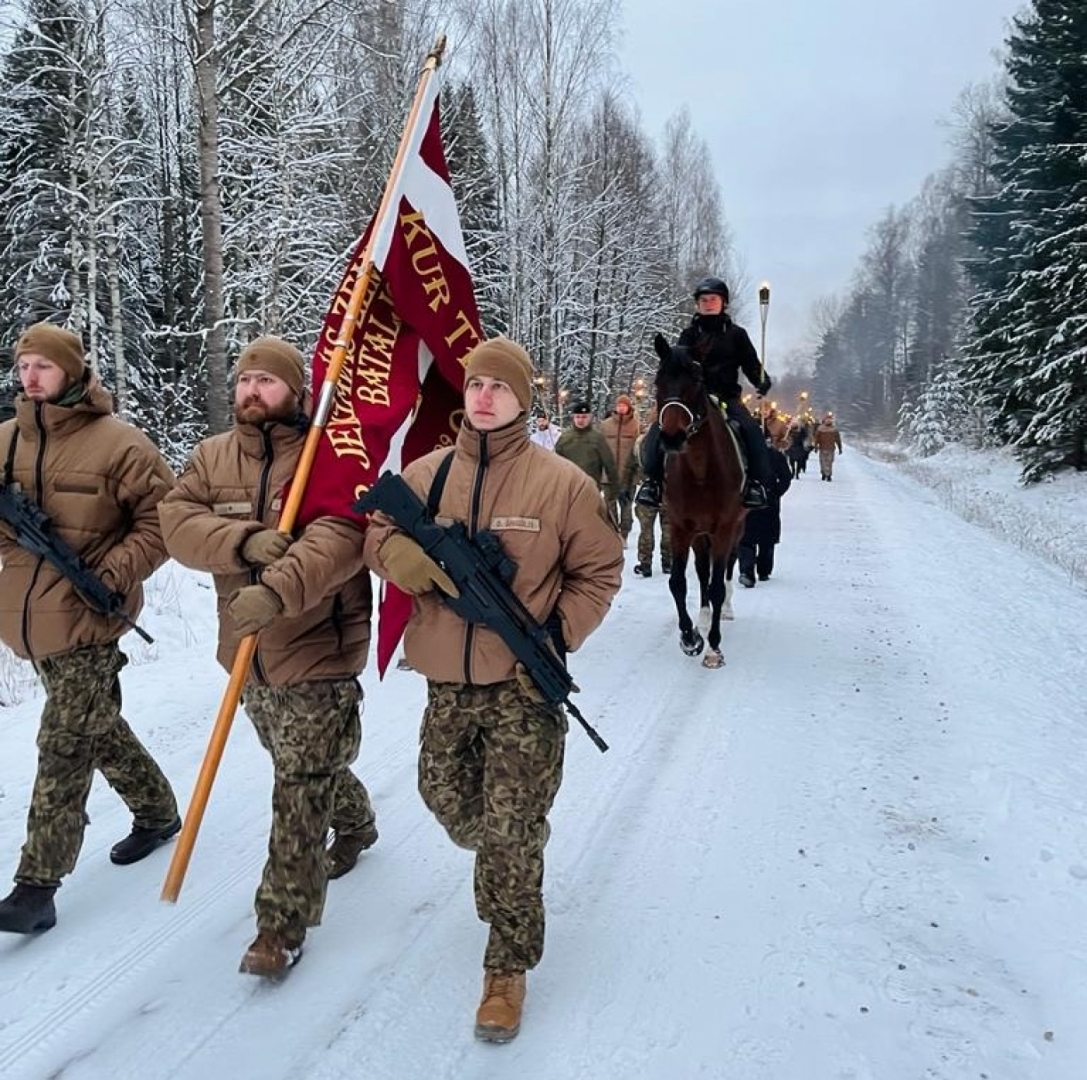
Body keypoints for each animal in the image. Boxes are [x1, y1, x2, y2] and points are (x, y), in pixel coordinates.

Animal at [647, 332, 752, 664]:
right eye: (658, 380)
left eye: (696, 379)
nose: (672, 437)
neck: (701, 471)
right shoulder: (681, 527)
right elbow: (678, 582)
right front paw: (690, 636)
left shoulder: (725, 529)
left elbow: (717, 584)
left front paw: (713, 648)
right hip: (699, 534)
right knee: (703, 570)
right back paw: (704, 619)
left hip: (735, 528)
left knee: (728, 566)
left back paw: (725, 610)